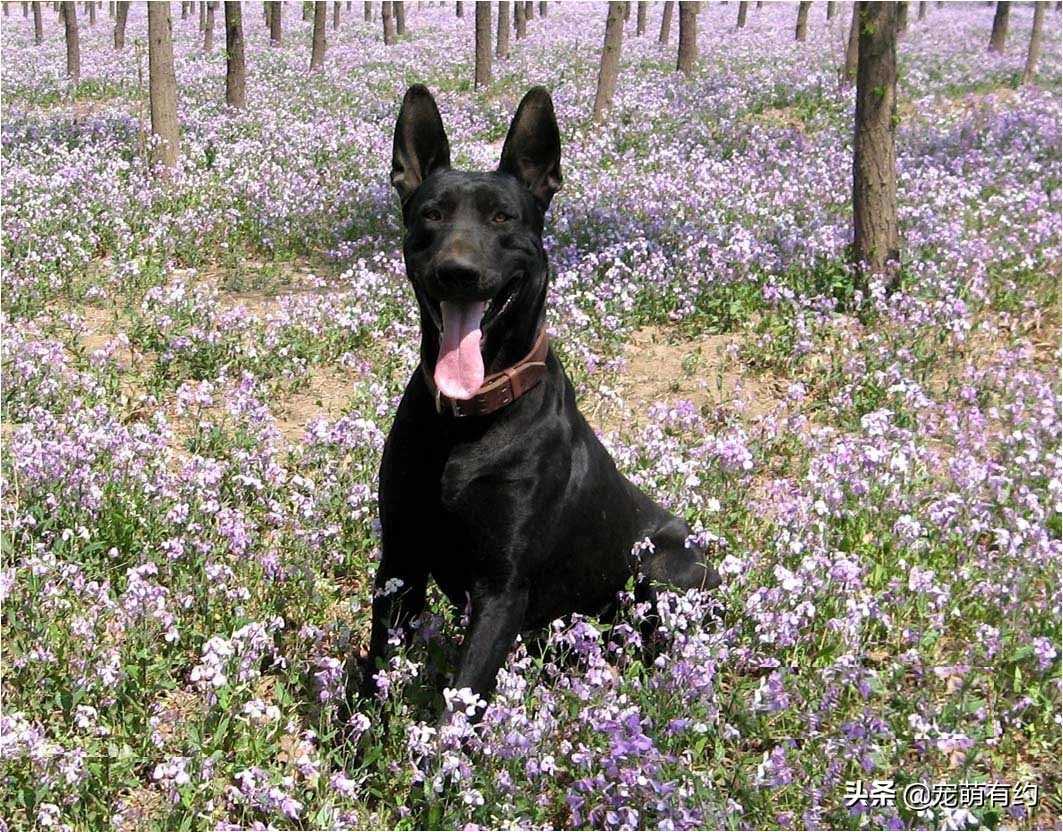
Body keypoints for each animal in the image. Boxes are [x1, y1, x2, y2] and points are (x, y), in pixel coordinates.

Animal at [359, 84, 722, 718]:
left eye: (502, 217)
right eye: (432, 214)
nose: (458, 272)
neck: (467, 422)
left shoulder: (503, 588)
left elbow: (460, 703)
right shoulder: (400, 560)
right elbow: (381, 667)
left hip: (661, 563)